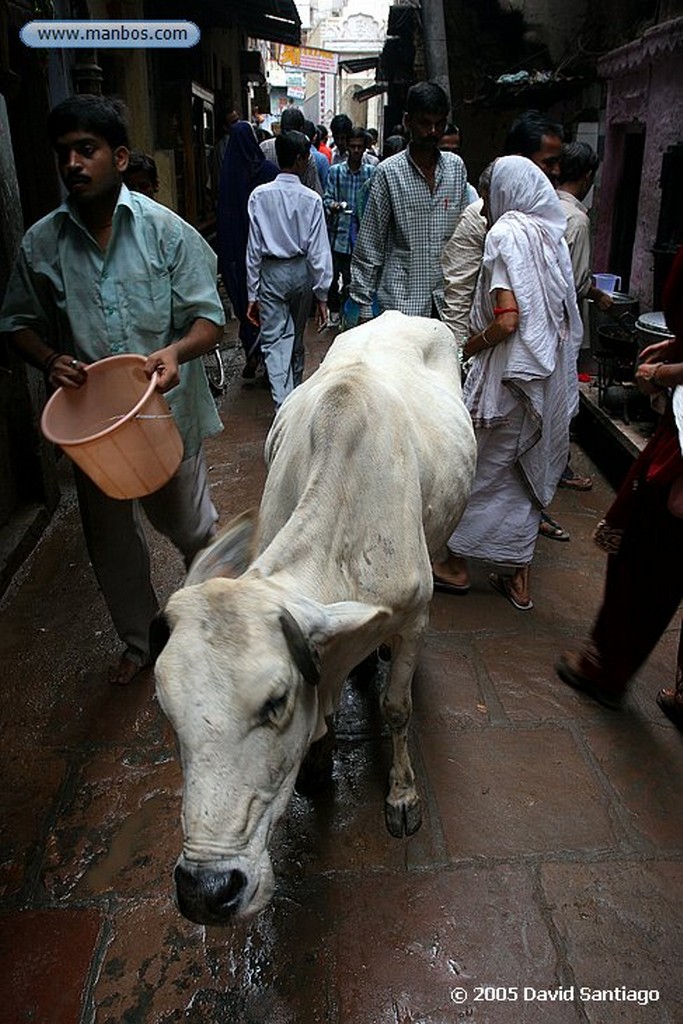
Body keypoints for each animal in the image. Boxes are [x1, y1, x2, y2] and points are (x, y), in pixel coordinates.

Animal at [154, 309, 475, 921]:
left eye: (275, 701)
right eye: (167, 710)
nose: (206, 891)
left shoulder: (414, 618)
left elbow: (396, 708)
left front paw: (402, 795)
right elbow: (324, 707)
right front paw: (319, 759)